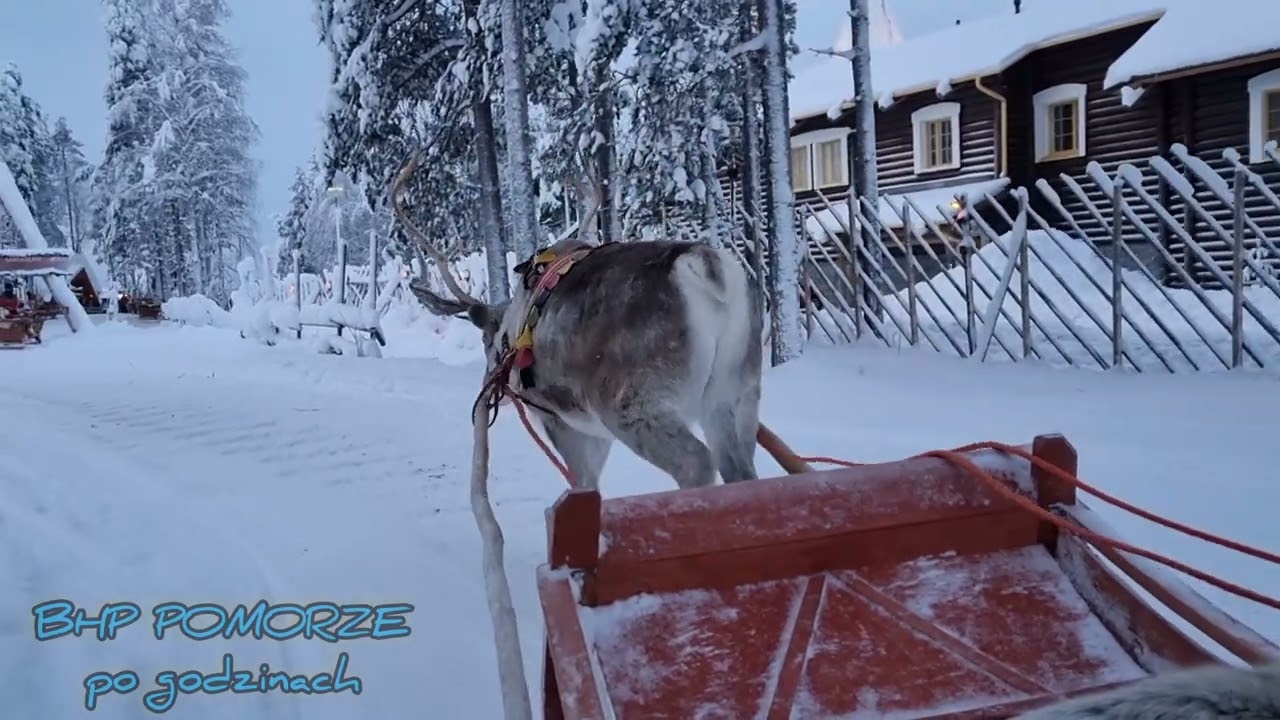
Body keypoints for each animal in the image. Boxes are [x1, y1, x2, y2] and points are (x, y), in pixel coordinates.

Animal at [390, 151, 765, 492]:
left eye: (486, 341)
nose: (492, 385)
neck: (511, 325)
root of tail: (706, 268)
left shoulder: (561, 420)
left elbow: (581, 485)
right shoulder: (595, 433)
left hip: (633, 404)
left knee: (696, 463)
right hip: (737, 391)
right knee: (741, 468)